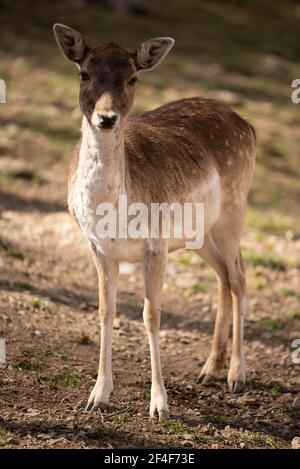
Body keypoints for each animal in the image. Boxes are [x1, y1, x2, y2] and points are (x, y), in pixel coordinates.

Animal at [53, 22, 255, 420]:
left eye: (133, 78)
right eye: (84, 73)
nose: (106, 118)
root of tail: (249, 126)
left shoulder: (156, 244)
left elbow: (152, 315)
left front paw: (160, 404)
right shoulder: (98, 247)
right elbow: (105, 311)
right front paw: (97, 396)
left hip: (234, 208)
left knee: (240, 277)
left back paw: (236, 375)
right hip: (199, 233)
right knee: (224, 276)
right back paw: (209, 368)